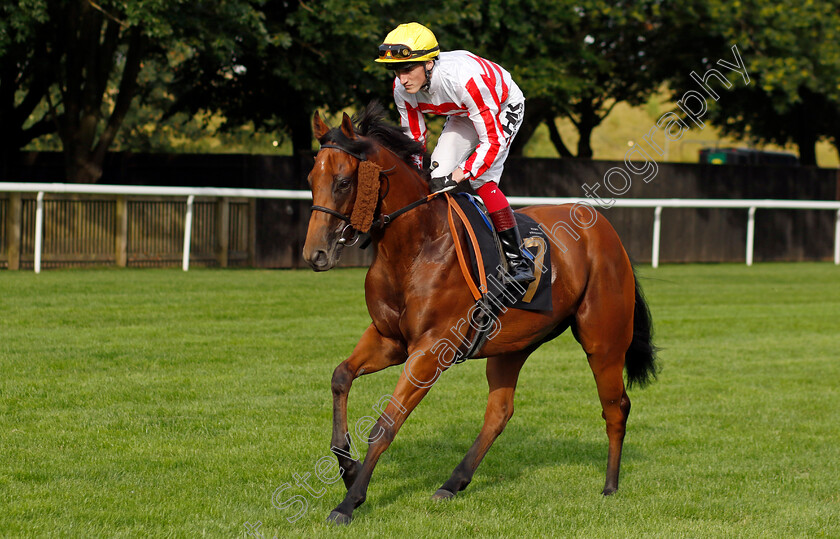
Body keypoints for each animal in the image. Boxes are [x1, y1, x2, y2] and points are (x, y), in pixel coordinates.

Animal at [302, 101, 656, 524]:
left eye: (342, 182)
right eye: (311, 178)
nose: (315, 254)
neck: (417, 245)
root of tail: (605, 230)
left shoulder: (430, 350)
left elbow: (387, 423)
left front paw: (349, 502)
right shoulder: (389, 339)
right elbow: (341, 376)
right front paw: (347, 465)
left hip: (603, 342)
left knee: (615, 407)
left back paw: (610, 486)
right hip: (513, 346)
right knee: (499, 412)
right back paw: (452, 483)